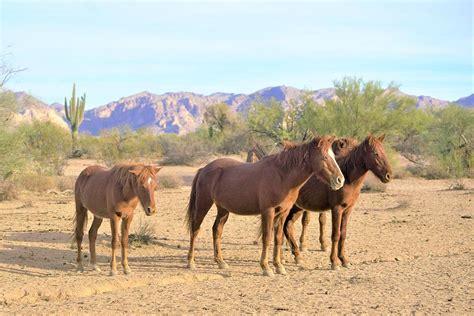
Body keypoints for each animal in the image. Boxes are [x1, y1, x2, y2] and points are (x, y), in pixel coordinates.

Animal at [185, 136, 344, 276]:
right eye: (324, 157)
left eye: (333, 156)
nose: (340, 180)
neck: (282, 176)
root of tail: (204, 169)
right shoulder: (268, 212)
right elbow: (267, 238)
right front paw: (266, 268)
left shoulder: (283, 213)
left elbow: (278, 238)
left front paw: (279, 266)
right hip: (203, 204)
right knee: (195, 229)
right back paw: (191, 262)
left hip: (223, 209)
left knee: (216, 230)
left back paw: (220, 262)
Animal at [284, 133, 390, 270]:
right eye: (375, 153)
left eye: (384, 152)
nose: (388, 175)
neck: (348, 178)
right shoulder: (337, 209)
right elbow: (335, 235)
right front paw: (334, 262)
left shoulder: (347, 210)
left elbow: (343, 234)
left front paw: (344, 260)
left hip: (297, 208)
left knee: (287, 226)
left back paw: (296, 256)